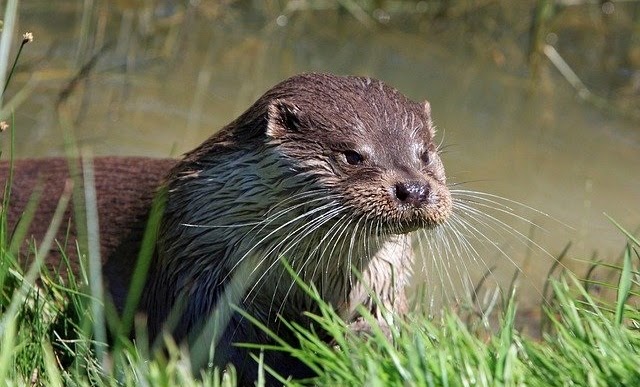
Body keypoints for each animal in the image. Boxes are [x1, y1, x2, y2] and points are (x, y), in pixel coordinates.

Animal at [1, 73, 450, 384]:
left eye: (425, 154)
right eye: (353, 155)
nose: (414, 188)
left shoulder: (381, 282)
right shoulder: (197, 274)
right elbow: (222, 349)